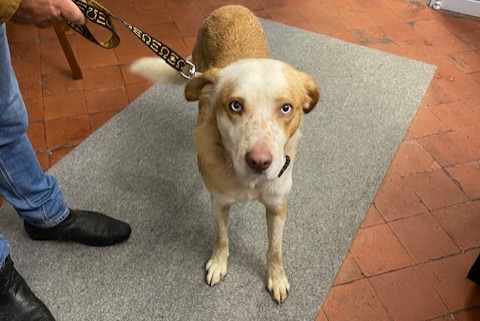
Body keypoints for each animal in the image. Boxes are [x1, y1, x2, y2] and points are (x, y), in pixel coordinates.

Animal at [131, 5, 318, 302]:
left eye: (286, 108)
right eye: (235, 105)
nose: (259, 161)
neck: (247, 183)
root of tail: (230, 7)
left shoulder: (277, 206)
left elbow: (275, 249)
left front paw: (277, 277)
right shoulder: (218, 202)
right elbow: (221, 237)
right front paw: (218, 264)